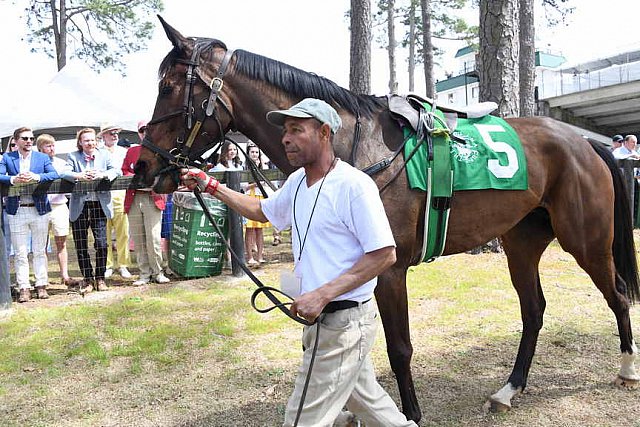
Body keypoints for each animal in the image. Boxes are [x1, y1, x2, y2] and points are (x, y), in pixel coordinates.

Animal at [136, 18, 640, 422]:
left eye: (168, 87)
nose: (144, 166)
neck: (351, 146)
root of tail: (584, 140)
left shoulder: (390, 269)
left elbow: (399, 350)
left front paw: (411, 414)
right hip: (521, 241)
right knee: (533, 310)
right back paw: (509, 389)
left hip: (586, 239)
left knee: (616, 294)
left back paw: (626, 367)